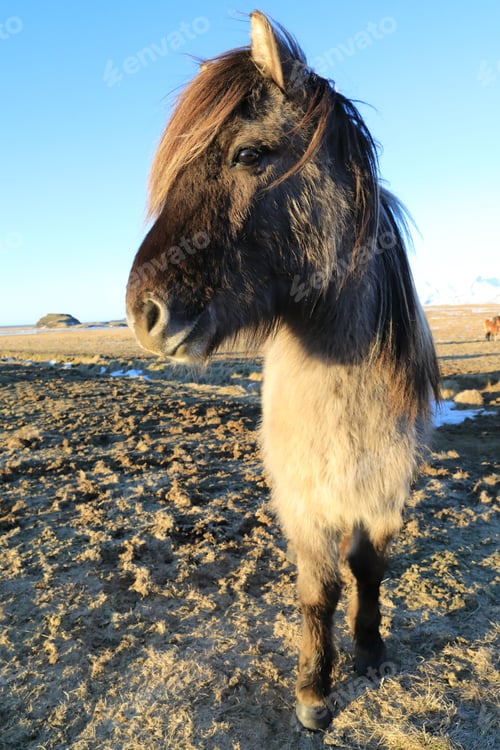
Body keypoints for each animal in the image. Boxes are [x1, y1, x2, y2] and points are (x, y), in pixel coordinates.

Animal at [126, 11, 440, 731]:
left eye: (248, 155)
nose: (142, 313)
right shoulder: (303, 502)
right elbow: (319, 590)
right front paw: (315, 690)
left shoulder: (384, 493)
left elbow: (368, 568)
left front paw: (369, 649)